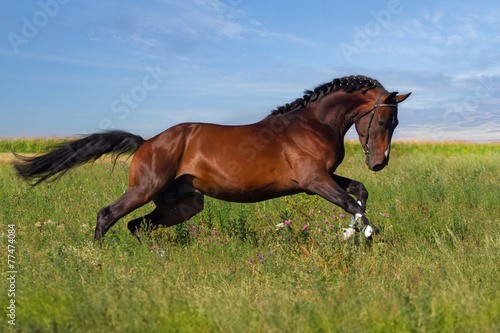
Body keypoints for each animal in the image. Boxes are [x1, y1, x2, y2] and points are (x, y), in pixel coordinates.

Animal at [12, 75, 410, 241]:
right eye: (385, 120)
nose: (379, 163)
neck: (311, 124)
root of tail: (147, 142)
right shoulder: (314, 180)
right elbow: (352, 203)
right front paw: (364, 234)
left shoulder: (319, 180)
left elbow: (359, 193)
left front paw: (352, 232)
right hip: (145, 190)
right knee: (108, 215)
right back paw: (99, 258)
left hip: (184, 204)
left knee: (138, 226)